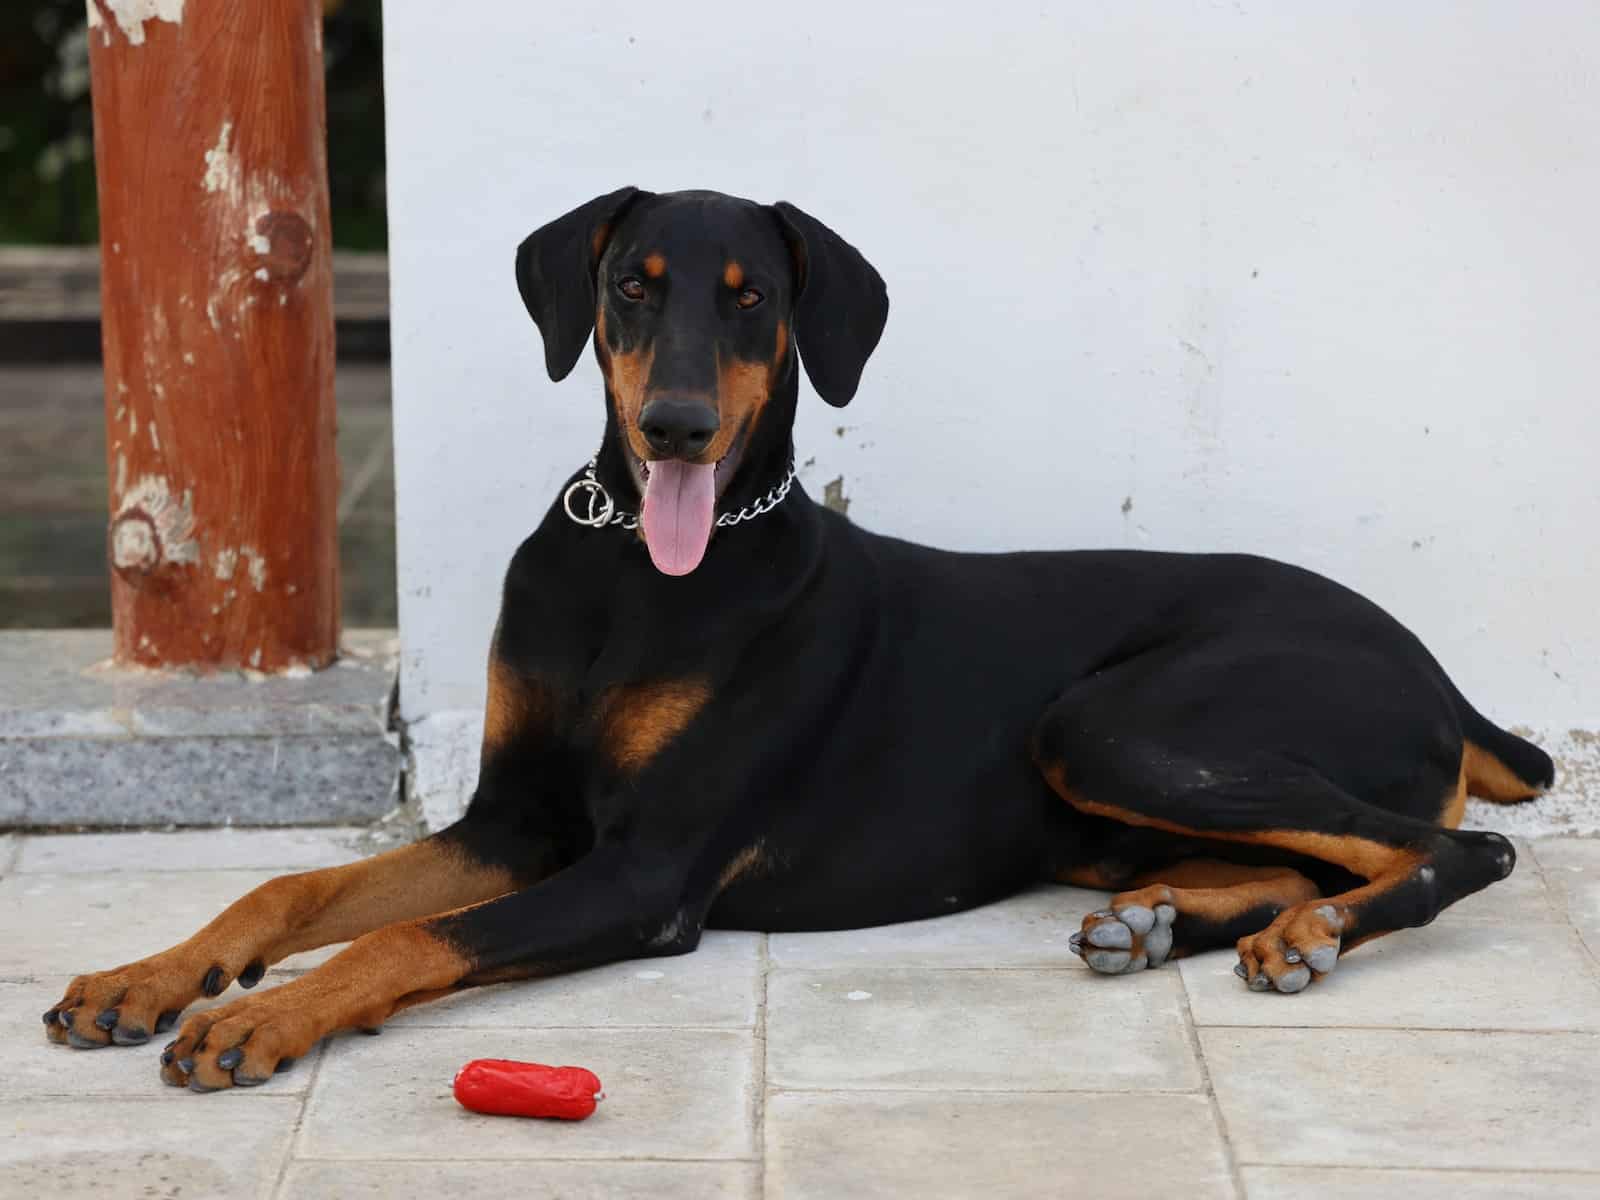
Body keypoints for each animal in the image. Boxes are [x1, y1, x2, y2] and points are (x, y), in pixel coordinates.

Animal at [46, 185, 1548, 1088]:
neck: (634, 574)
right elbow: (290, 892)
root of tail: (1442, 680)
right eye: (634, 285)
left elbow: (403, 943)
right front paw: (147, 979)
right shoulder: (516, 822)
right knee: (1306, 854)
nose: (677, 428)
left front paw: (257, 1015)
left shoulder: (644, 872)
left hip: (1113, 723)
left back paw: (1304, 937)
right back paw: (1168, 918)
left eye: (753, 296)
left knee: (1457, 849)